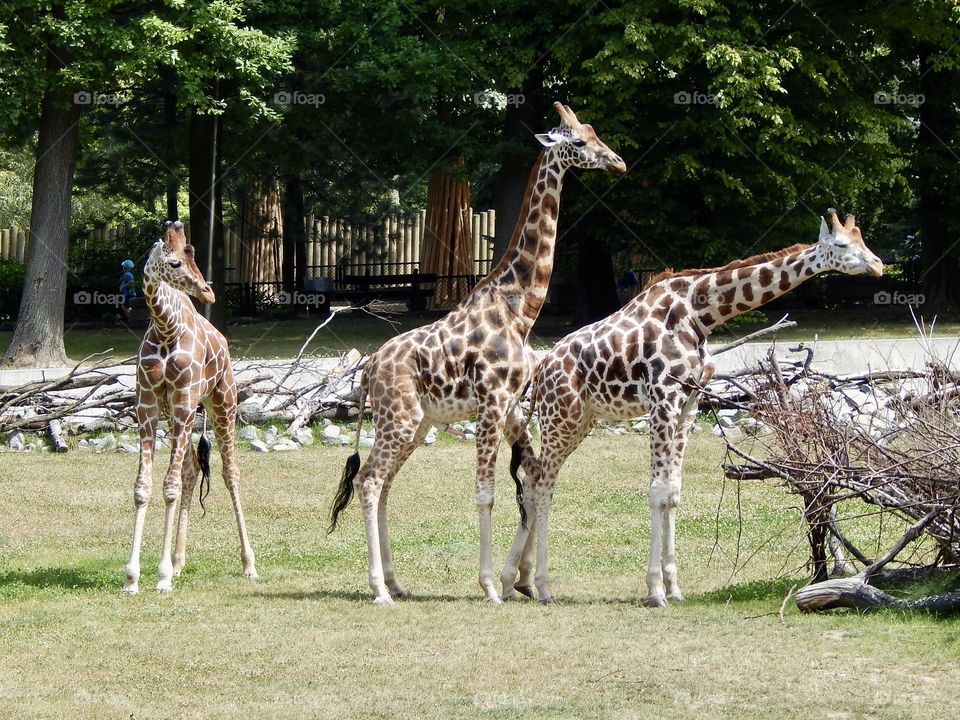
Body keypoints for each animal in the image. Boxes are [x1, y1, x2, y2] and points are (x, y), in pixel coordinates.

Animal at [122, 220, 257, 594]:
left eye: (193, 255)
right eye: (175, 262)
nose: (208, 292)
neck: (166, 328)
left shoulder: (183, 401)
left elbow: (167, 488)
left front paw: (162, 576)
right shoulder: (148, 406)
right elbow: (143, 488)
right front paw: (133, 577)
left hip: (222, 403)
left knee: (229, 473)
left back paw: (249, 563)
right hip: (175, 415)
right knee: (191, 471)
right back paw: (180, 561)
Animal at [328, 102, 627, 605]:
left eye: (595, 132)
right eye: (579, 141)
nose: (618, 162)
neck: (519, 308)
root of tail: (369, 370)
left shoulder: (510, 406)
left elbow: (532, 478)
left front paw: (520, 577)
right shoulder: (490, 403)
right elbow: (486, 493)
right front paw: (491, 585)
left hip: (415, 423)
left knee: (382, 483)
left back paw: (396, 582)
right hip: (400, 418)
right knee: (369, 481)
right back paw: (379, 588)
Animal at [501, 210, 883, 605]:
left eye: (863, 240)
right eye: (842, 245)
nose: (878, 265)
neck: (701, 313)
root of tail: (542, 368)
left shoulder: (689, 402)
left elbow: (673, 491)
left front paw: (674, 586)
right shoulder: (663, 399)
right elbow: (657, 491)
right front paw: (655, 590)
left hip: (582, 420)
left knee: (534, 478)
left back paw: (515, 580)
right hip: (561, 415)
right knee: (544, 483)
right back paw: (543, 586)